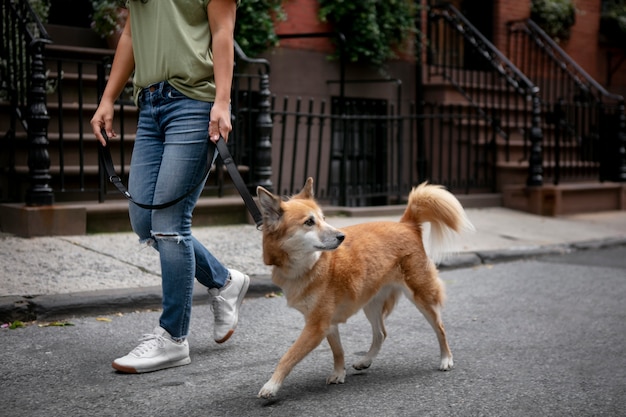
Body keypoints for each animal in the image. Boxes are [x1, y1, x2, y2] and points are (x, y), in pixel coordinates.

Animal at [255, 177, 472, 398]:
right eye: (309, 222)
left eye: (323, 218)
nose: (341, 236)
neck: (308, 265)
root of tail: (406, 224)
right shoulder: (327, 323)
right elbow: (338, 351)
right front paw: (339, 373)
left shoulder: (316, 326)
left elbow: (288, 356)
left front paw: (272, 385)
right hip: (371, 303)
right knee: (381, 334)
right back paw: (366, 361)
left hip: (421, 295)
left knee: (440, 328)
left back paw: (446, 358)